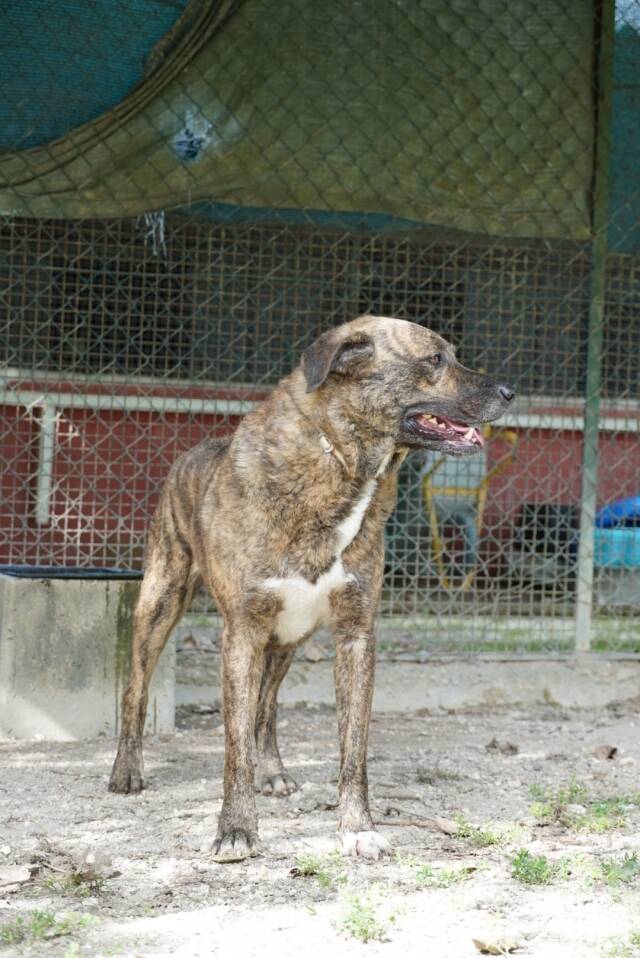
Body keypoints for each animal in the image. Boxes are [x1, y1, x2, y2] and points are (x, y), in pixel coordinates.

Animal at [109, 315, 514, 862]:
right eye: (435, 360)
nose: (510, 391)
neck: (341, 465)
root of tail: (191, 453)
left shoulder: (355, 634)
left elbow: (352, 750)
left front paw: (358, 827)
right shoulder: (241, 633)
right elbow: (234, 746)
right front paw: (236, 829)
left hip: (288, 638)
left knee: (266, 707)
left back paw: (275, 771)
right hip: (161, 601)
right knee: (136, 690)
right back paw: (126, 771)